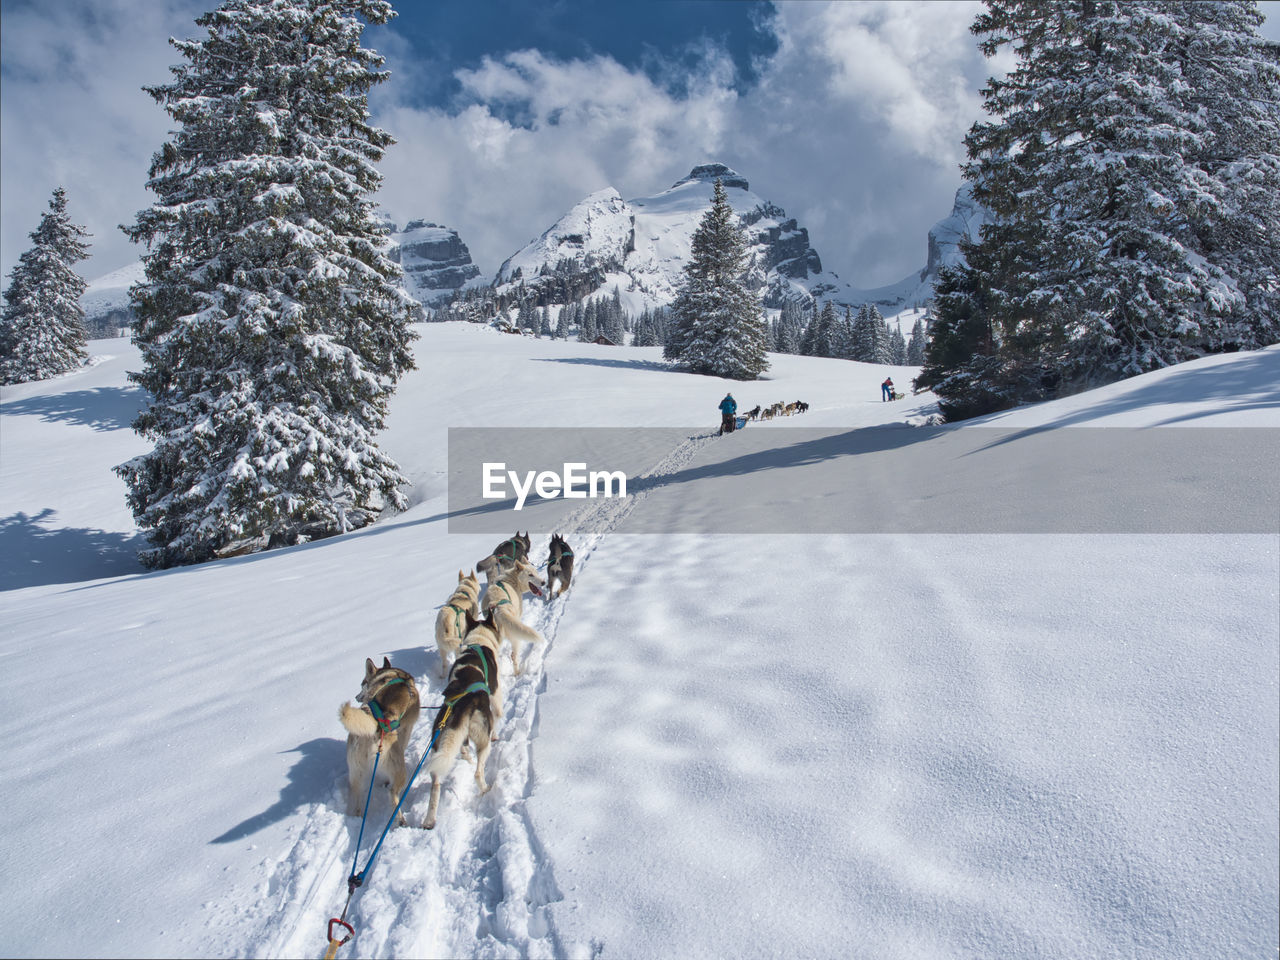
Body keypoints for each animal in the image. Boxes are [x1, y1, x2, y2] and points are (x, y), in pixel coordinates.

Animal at [337, 660, 422, 829]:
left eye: (363, 683)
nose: (357, 696)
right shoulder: (406, 730)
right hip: (399, 771)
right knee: (393, 793)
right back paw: (400, 820)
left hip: (356, 773)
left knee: (357, 794)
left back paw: (358, 817)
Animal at [419, 619, 499, 829]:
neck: (477, 642)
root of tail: (463, 702)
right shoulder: (496, 692)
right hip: (483, 740)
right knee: (478, 772)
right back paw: (485, 788)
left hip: (440, 746)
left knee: (436, 783)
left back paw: (429, 819)